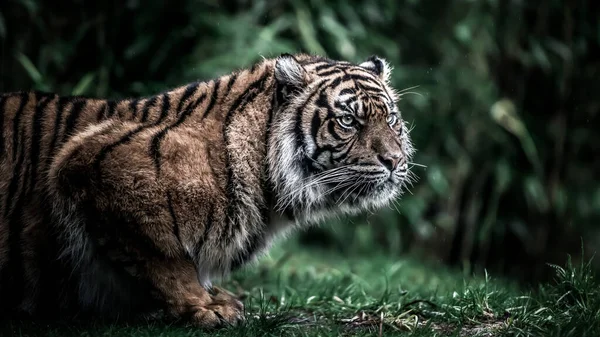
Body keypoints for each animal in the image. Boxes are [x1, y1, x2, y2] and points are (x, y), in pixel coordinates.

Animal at [0, 53, 412, 326]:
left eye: (391, 117)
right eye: (349, 121)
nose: (395, 160)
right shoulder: (87, 163)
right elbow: (162, 255)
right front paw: (206, 306)